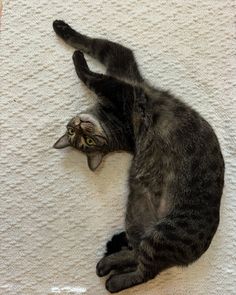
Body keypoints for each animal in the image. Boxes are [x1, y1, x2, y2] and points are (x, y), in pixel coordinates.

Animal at [52, 19, 224, 294]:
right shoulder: (121, 87)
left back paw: (108, 269)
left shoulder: (120, 67)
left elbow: (92, 47)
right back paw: (110, 274)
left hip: (155, 231)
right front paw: (76, 55)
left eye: (85, 140)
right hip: (148, 226)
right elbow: (92, 73)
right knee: (143, 267)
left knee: (143, 262)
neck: (111, 122)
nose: (79, 127)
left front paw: (64, 31)